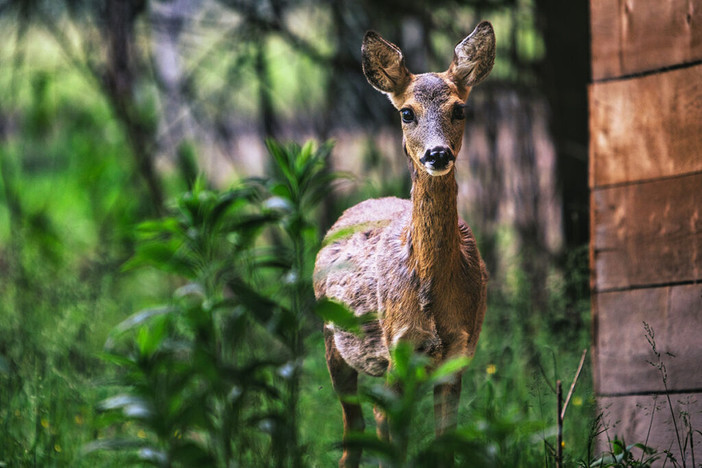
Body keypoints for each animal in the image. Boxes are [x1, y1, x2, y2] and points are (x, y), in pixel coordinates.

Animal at [314, 21, 496, 468]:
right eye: (406, 112)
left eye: (460, 109)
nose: (437, 154)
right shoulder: (396, 354)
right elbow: (391, 444)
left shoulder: (459, 353)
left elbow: (445, 444)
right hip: (331, 342)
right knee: (355, 427)